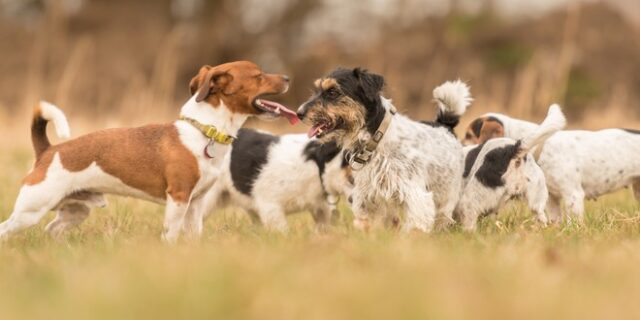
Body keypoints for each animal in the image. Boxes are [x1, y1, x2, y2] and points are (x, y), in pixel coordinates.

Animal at [0, 60, 296, 242]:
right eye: (259, 76)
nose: (287, 77)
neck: (204, 131)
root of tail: (48, 150)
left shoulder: (195, 203)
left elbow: (193, 235)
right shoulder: (178, 199)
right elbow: (171, 234)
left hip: (75, 210)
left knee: (53, 230)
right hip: (30, 210)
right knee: (7, 229)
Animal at [296, 68, 470, 232]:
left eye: (332, 92)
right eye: (316, 90)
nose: (299, 113)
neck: (376, 140)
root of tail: (445, 124)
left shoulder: (415, 194)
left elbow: (415, 226)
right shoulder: (366, 198)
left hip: (447, 195)